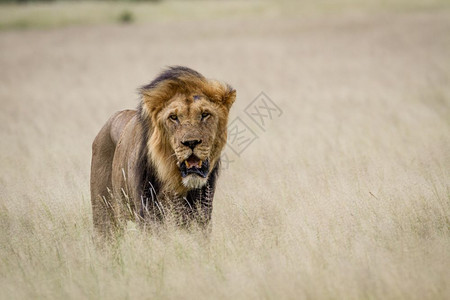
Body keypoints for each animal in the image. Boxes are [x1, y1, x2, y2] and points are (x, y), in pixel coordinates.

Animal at [90, 66, 236, 234]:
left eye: (205, 114)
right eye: (173, 117)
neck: (175, 182)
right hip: (104, 215)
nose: (191, 142)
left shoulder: (201, 214)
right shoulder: (148, 214)